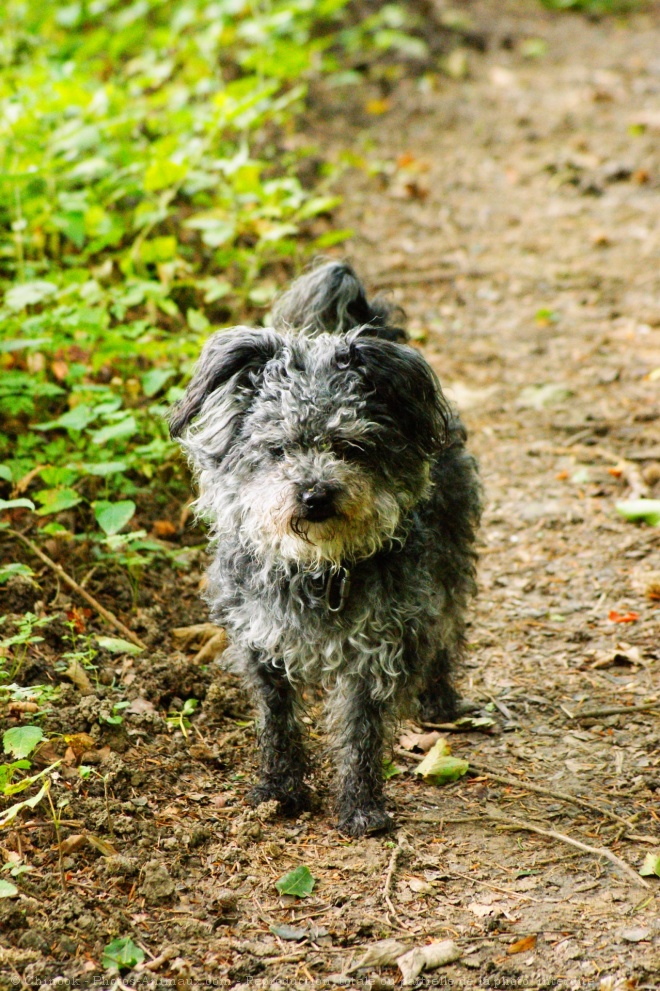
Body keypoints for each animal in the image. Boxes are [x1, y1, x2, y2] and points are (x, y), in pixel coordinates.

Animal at [169, 262, 480, 836]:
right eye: (278, 448)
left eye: (351, 446)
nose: (315, 496)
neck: (318, 567)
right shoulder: (261, 641)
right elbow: (277, 721)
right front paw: (279, 791)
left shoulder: (375, 646)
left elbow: (360, 732)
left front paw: (360, 806)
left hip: (448, 563)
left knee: (446, 629)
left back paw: (439, 699)